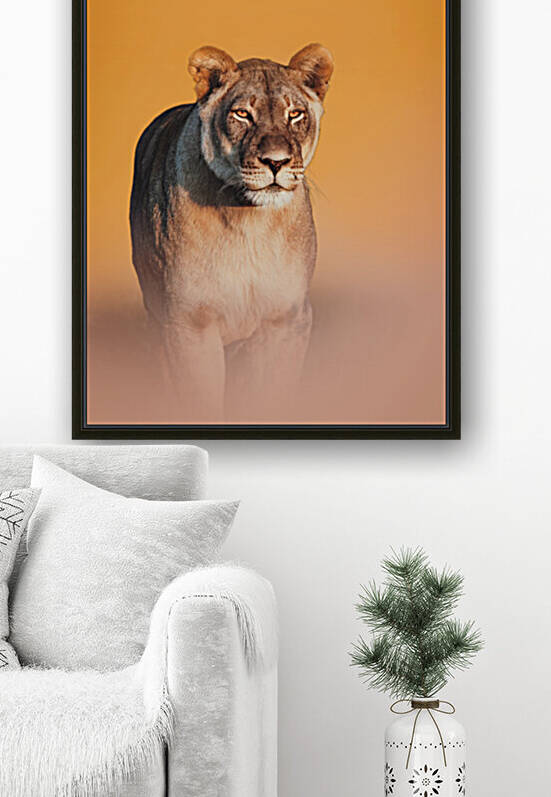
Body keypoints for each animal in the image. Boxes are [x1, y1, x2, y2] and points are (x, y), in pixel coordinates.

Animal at [130, 43, 333, 421]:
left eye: (295, 114)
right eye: (242, 114)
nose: (276, 162)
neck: (249, 224)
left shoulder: (287, 319)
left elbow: (270, 400)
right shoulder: (188, 324)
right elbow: (200, 404)